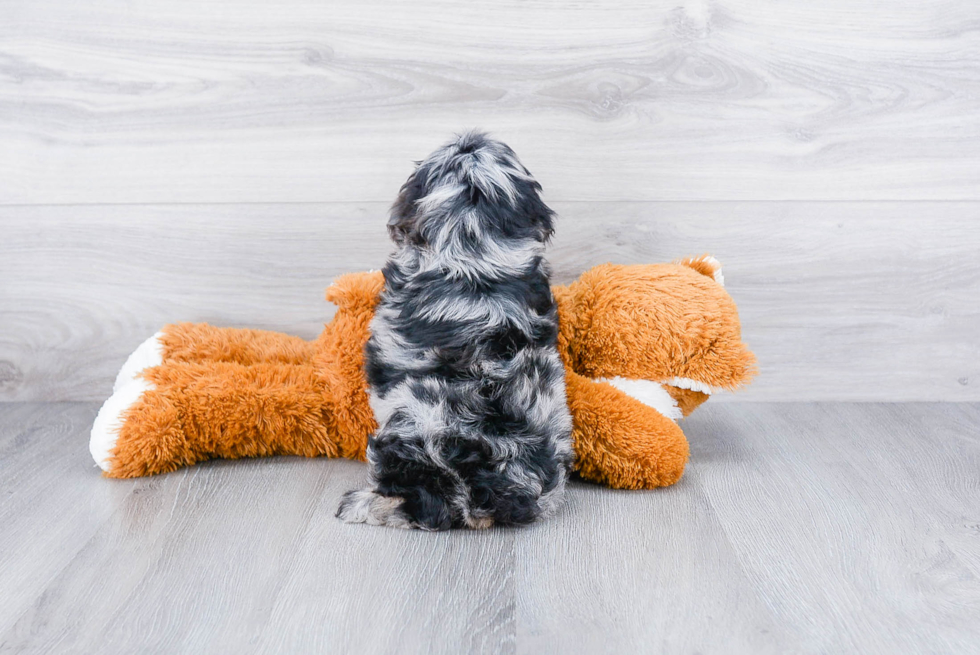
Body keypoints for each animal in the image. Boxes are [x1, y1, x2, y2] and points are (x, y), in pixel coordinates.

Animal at [336, 131, 576, 532]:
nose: (470, 137)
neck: (471, 246)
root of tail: (491, 489)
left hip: (401, 446)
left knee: (414, 507)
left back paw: (359, 504)